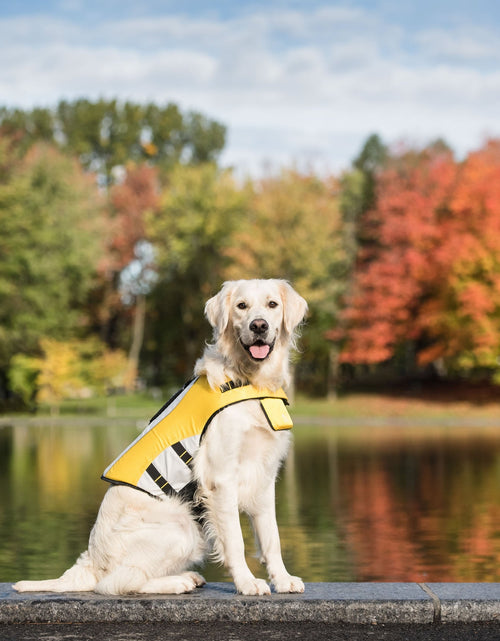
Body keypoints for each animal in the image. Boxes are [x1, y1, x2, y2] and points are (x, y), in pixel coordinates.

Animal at [13, 278, 306, 596]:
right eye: (242, 306)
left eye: (272, 304)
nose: (259, 326)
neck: (247, 382)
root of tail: (91, 561)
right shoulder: (221, 478)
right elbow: (235, 542)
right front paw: (248, 582)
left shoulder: (264, 475)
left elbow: (271, 536)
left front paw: (283, 579)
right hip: (183, 526)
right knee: (117, 582)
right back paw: (179, 581)